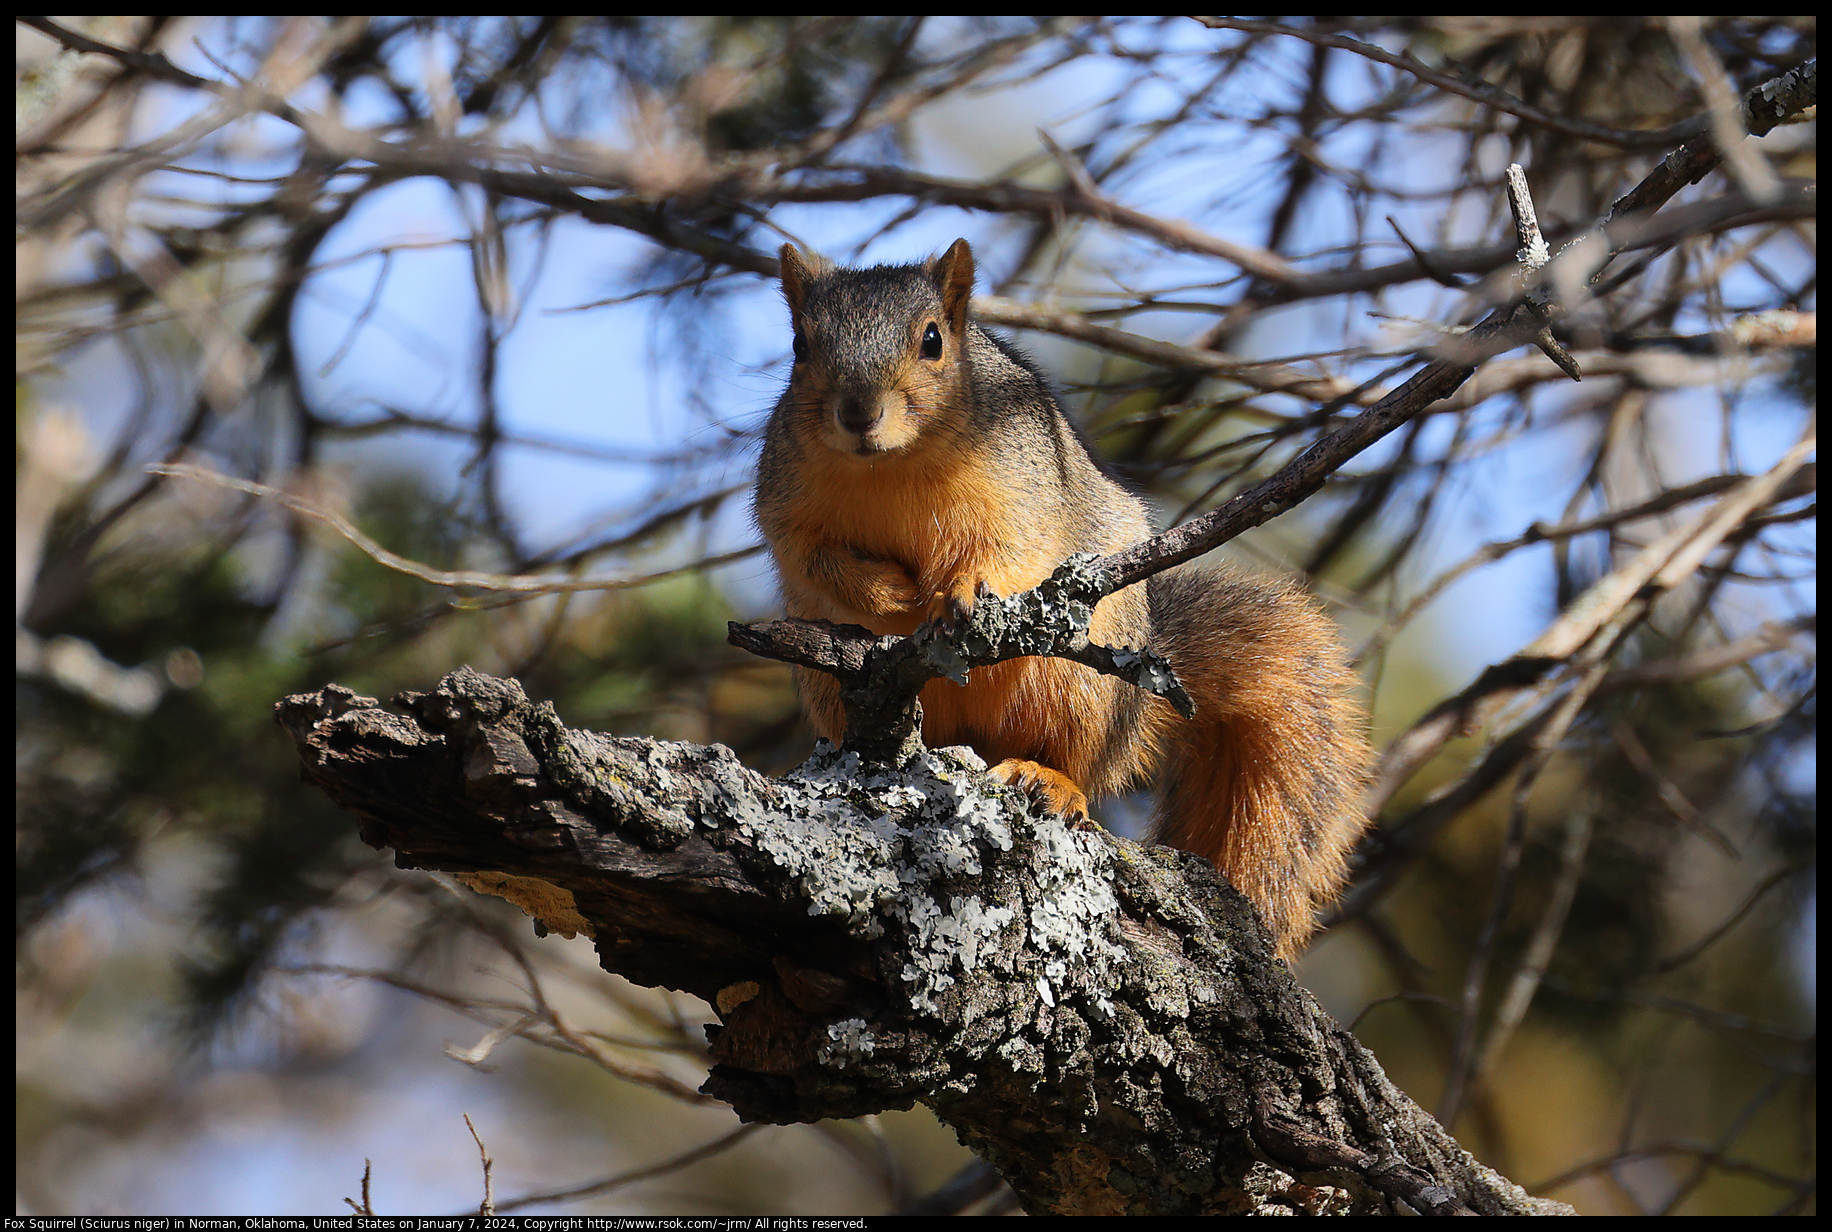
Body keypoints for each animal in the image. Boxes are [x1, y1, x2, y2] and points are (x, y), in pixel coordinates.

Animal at [751, 236, 1370, 960]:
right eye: (800, 344)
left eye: (933, 340)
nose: (857, 414)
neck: (887, 466)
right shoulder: (786, 503)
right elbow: (813, 559)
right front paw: (892, 591)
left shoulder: (1024, 489)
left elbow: (1010, 549)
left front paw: (964, 590)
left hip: (1085, 691)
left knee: (1081, 764)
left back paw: (1049, 780)